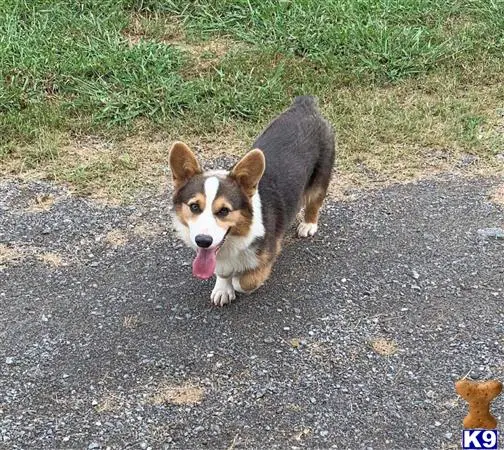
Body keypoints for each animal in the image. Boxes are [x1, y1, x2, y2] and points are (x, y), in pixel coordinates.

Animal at [168, 95, 334, 306]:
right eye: (194, 206)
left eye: (224, 211)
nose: (203, 241)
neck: (235, 238)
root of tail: (304, 104)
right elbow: (221, 270)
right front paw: (222, 288)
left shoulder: (268, 254)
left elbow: (244, 281)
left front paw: (235, 282)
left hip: (321, 176)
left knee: (314, 201)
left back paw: (308, 225)